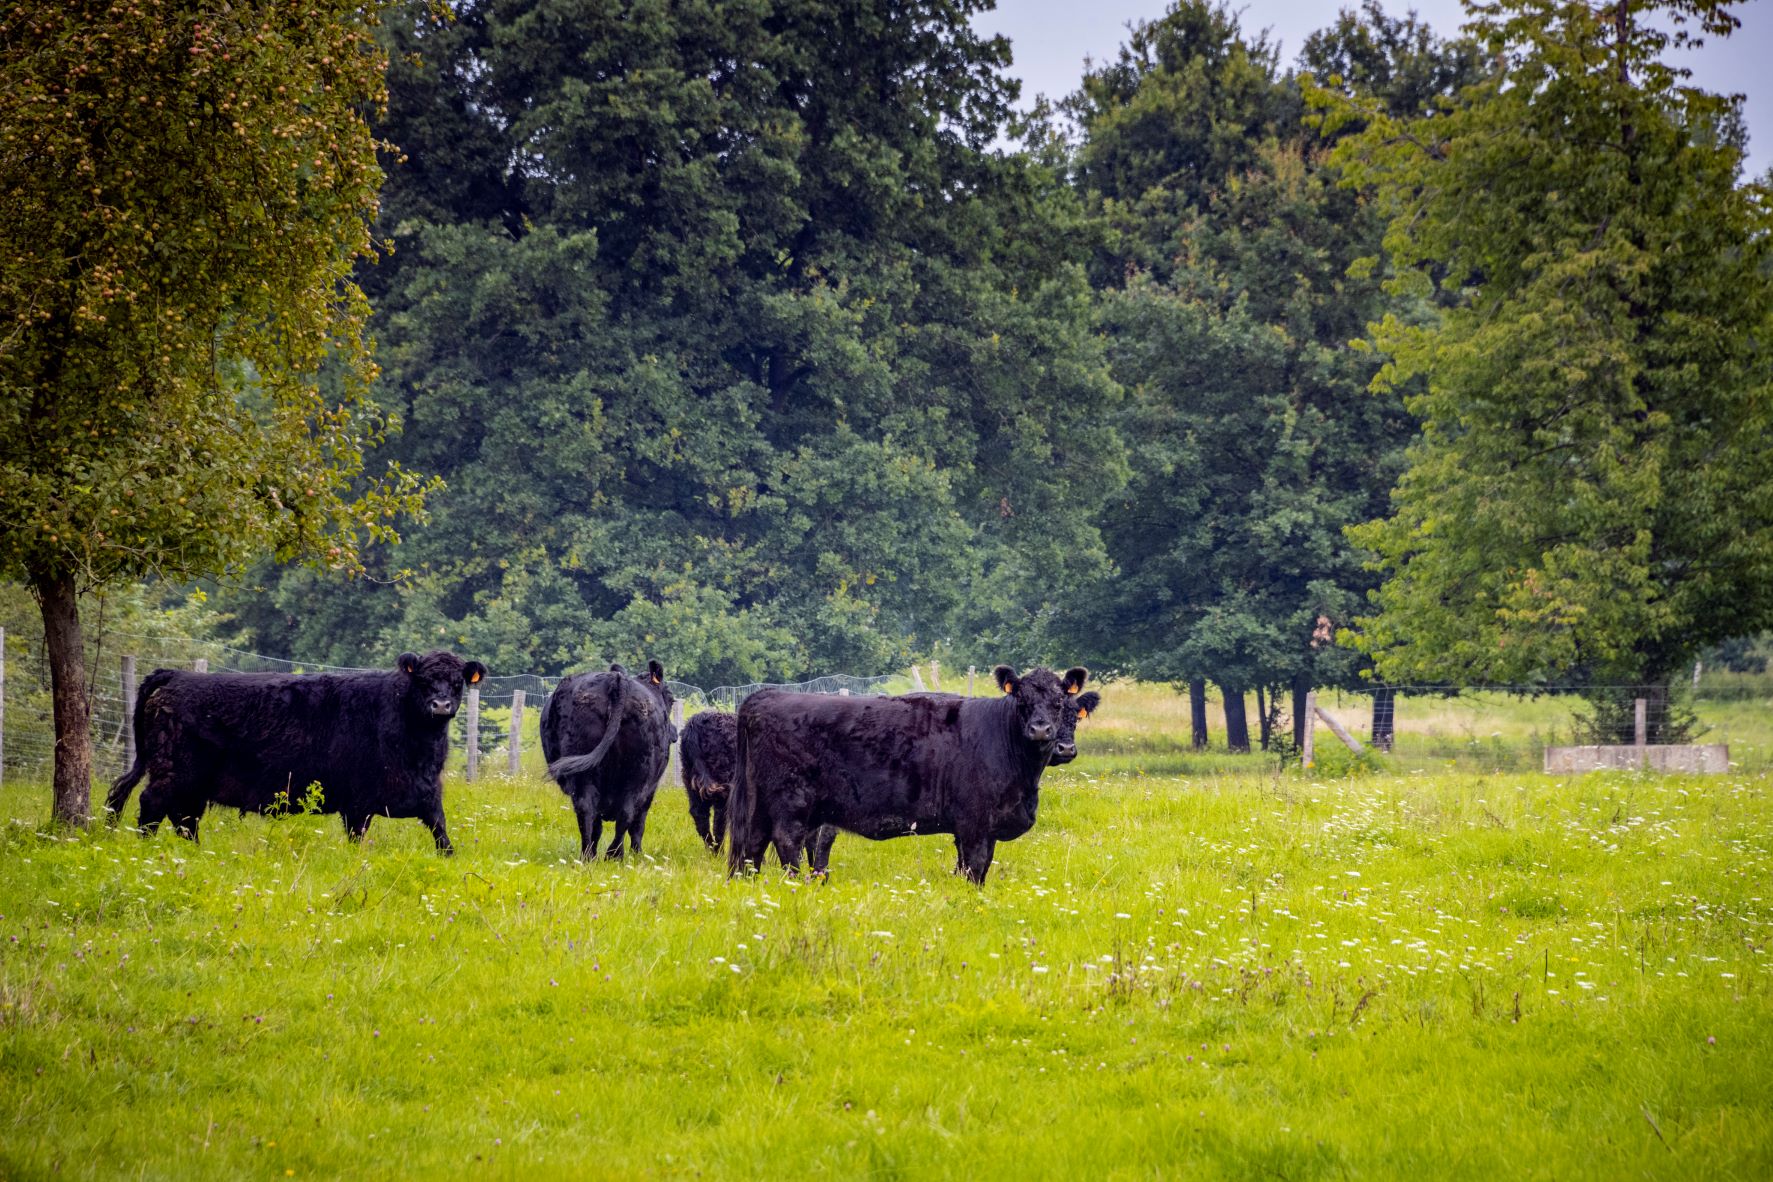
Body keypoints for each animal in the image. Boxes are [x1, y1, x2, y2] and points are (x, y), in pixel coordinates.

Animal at [106, 648, 489, 850]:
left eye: (457, 682)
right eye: (423, 680)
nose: (441, 705)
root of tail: (178, 676)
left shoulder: (428, 794)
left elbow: (443, 836)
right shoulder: (358, 804)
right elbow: (357, 841)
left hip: (192, 784)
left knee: (181, 818)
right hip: (174, 772)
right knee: (151, 805)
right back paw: (145, 850)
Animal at [538, 655, 670, 861]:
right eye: (670, 699)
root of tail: (617, 680)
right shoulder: (651, 789)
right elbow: (638, 825)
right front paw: (637, 854)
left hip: (584, 772)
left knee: (586, 810)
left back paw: (588, 855)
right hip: (639, 773)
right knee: (626, 814)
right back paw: (614, 855)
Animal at [673, 708, 737, 854]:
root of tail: (695, 723)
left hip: (690, 778)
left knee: (699, 814)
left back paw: (711, 850)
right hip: (723, 780)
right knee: (719, 818)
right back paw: (719, 852)